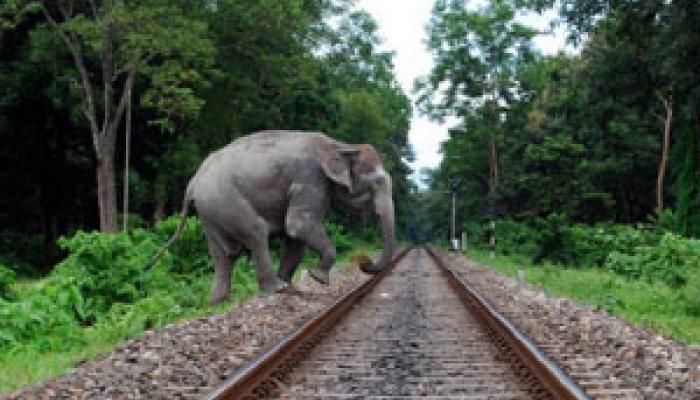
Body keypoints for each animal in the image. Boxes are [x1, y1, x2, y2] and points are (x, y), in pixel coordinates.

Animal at [149, 131, 394, 304]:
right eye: (378, 181)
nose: (364, 263)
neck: (339, 145)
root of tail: (194, 180)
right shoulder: (310, 178)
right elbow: (298, 225)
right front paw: (317, 278)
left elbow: (296, 237)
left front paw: (294, 289)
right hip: (223, 199)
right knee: (255, 233)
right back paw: (275, 289)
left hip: (209, 211)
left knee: (225, 253)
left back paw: (223, 302)